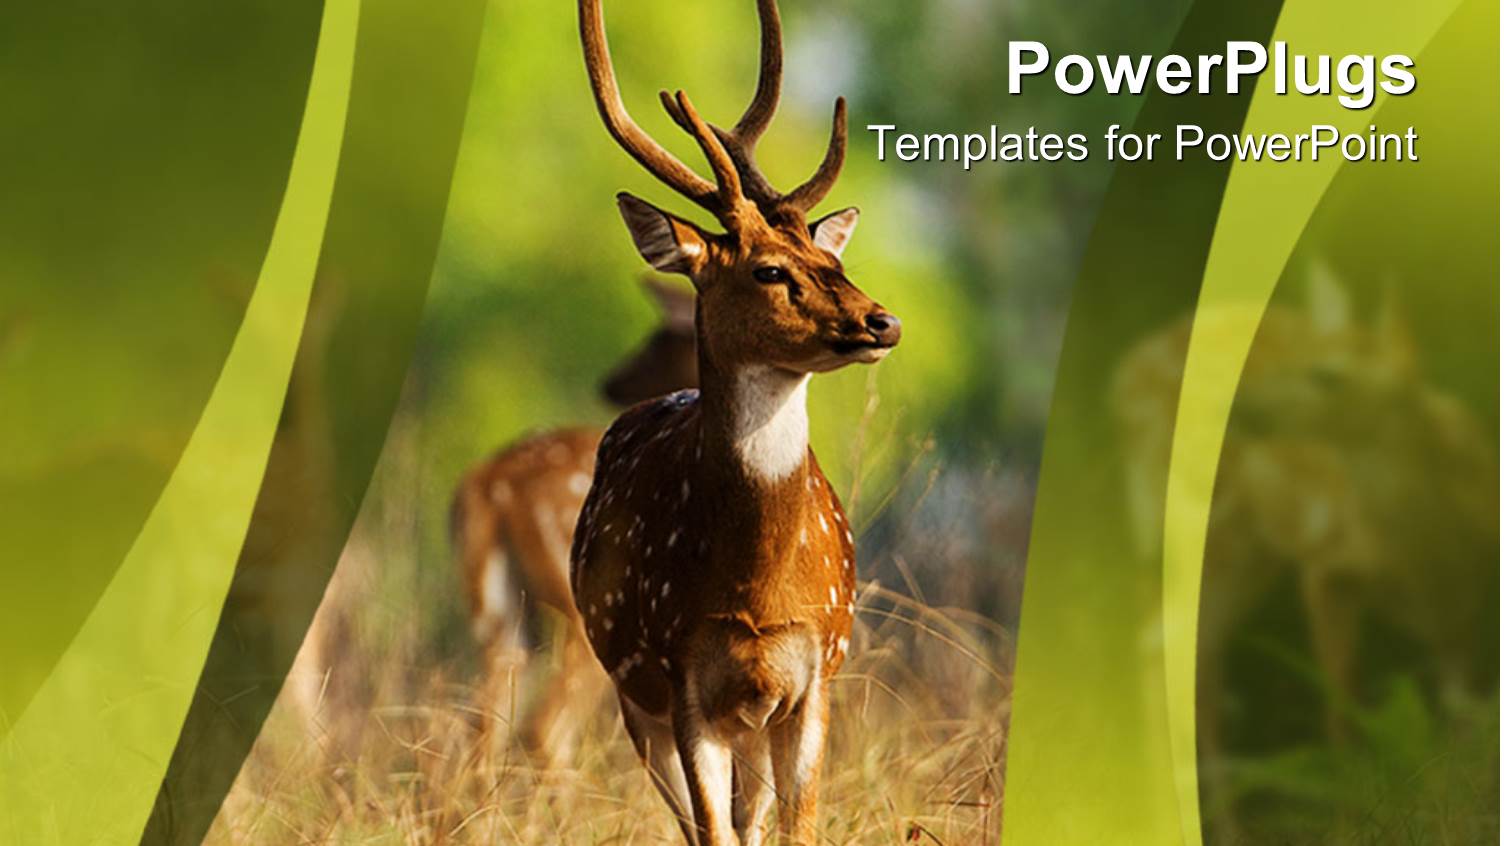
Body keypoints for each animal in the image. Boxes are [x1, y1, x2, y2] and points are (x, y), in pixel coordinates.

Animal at [450, 276, 698, 766]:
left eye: (655, 339)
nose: (611, 383)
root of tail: (489, 485)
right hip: (590, 610)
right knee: (544, 728)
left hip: (501, 615)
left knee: (482, 726)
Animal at [568, 1, 902, 843]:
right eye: (769, 269)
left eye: (833, 263)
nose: (881, 321)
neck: (759, 593)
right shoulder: (684, 676)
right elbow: (712, 830)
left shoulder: (814, 674)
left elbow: (794, 828)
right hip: (631, 694)